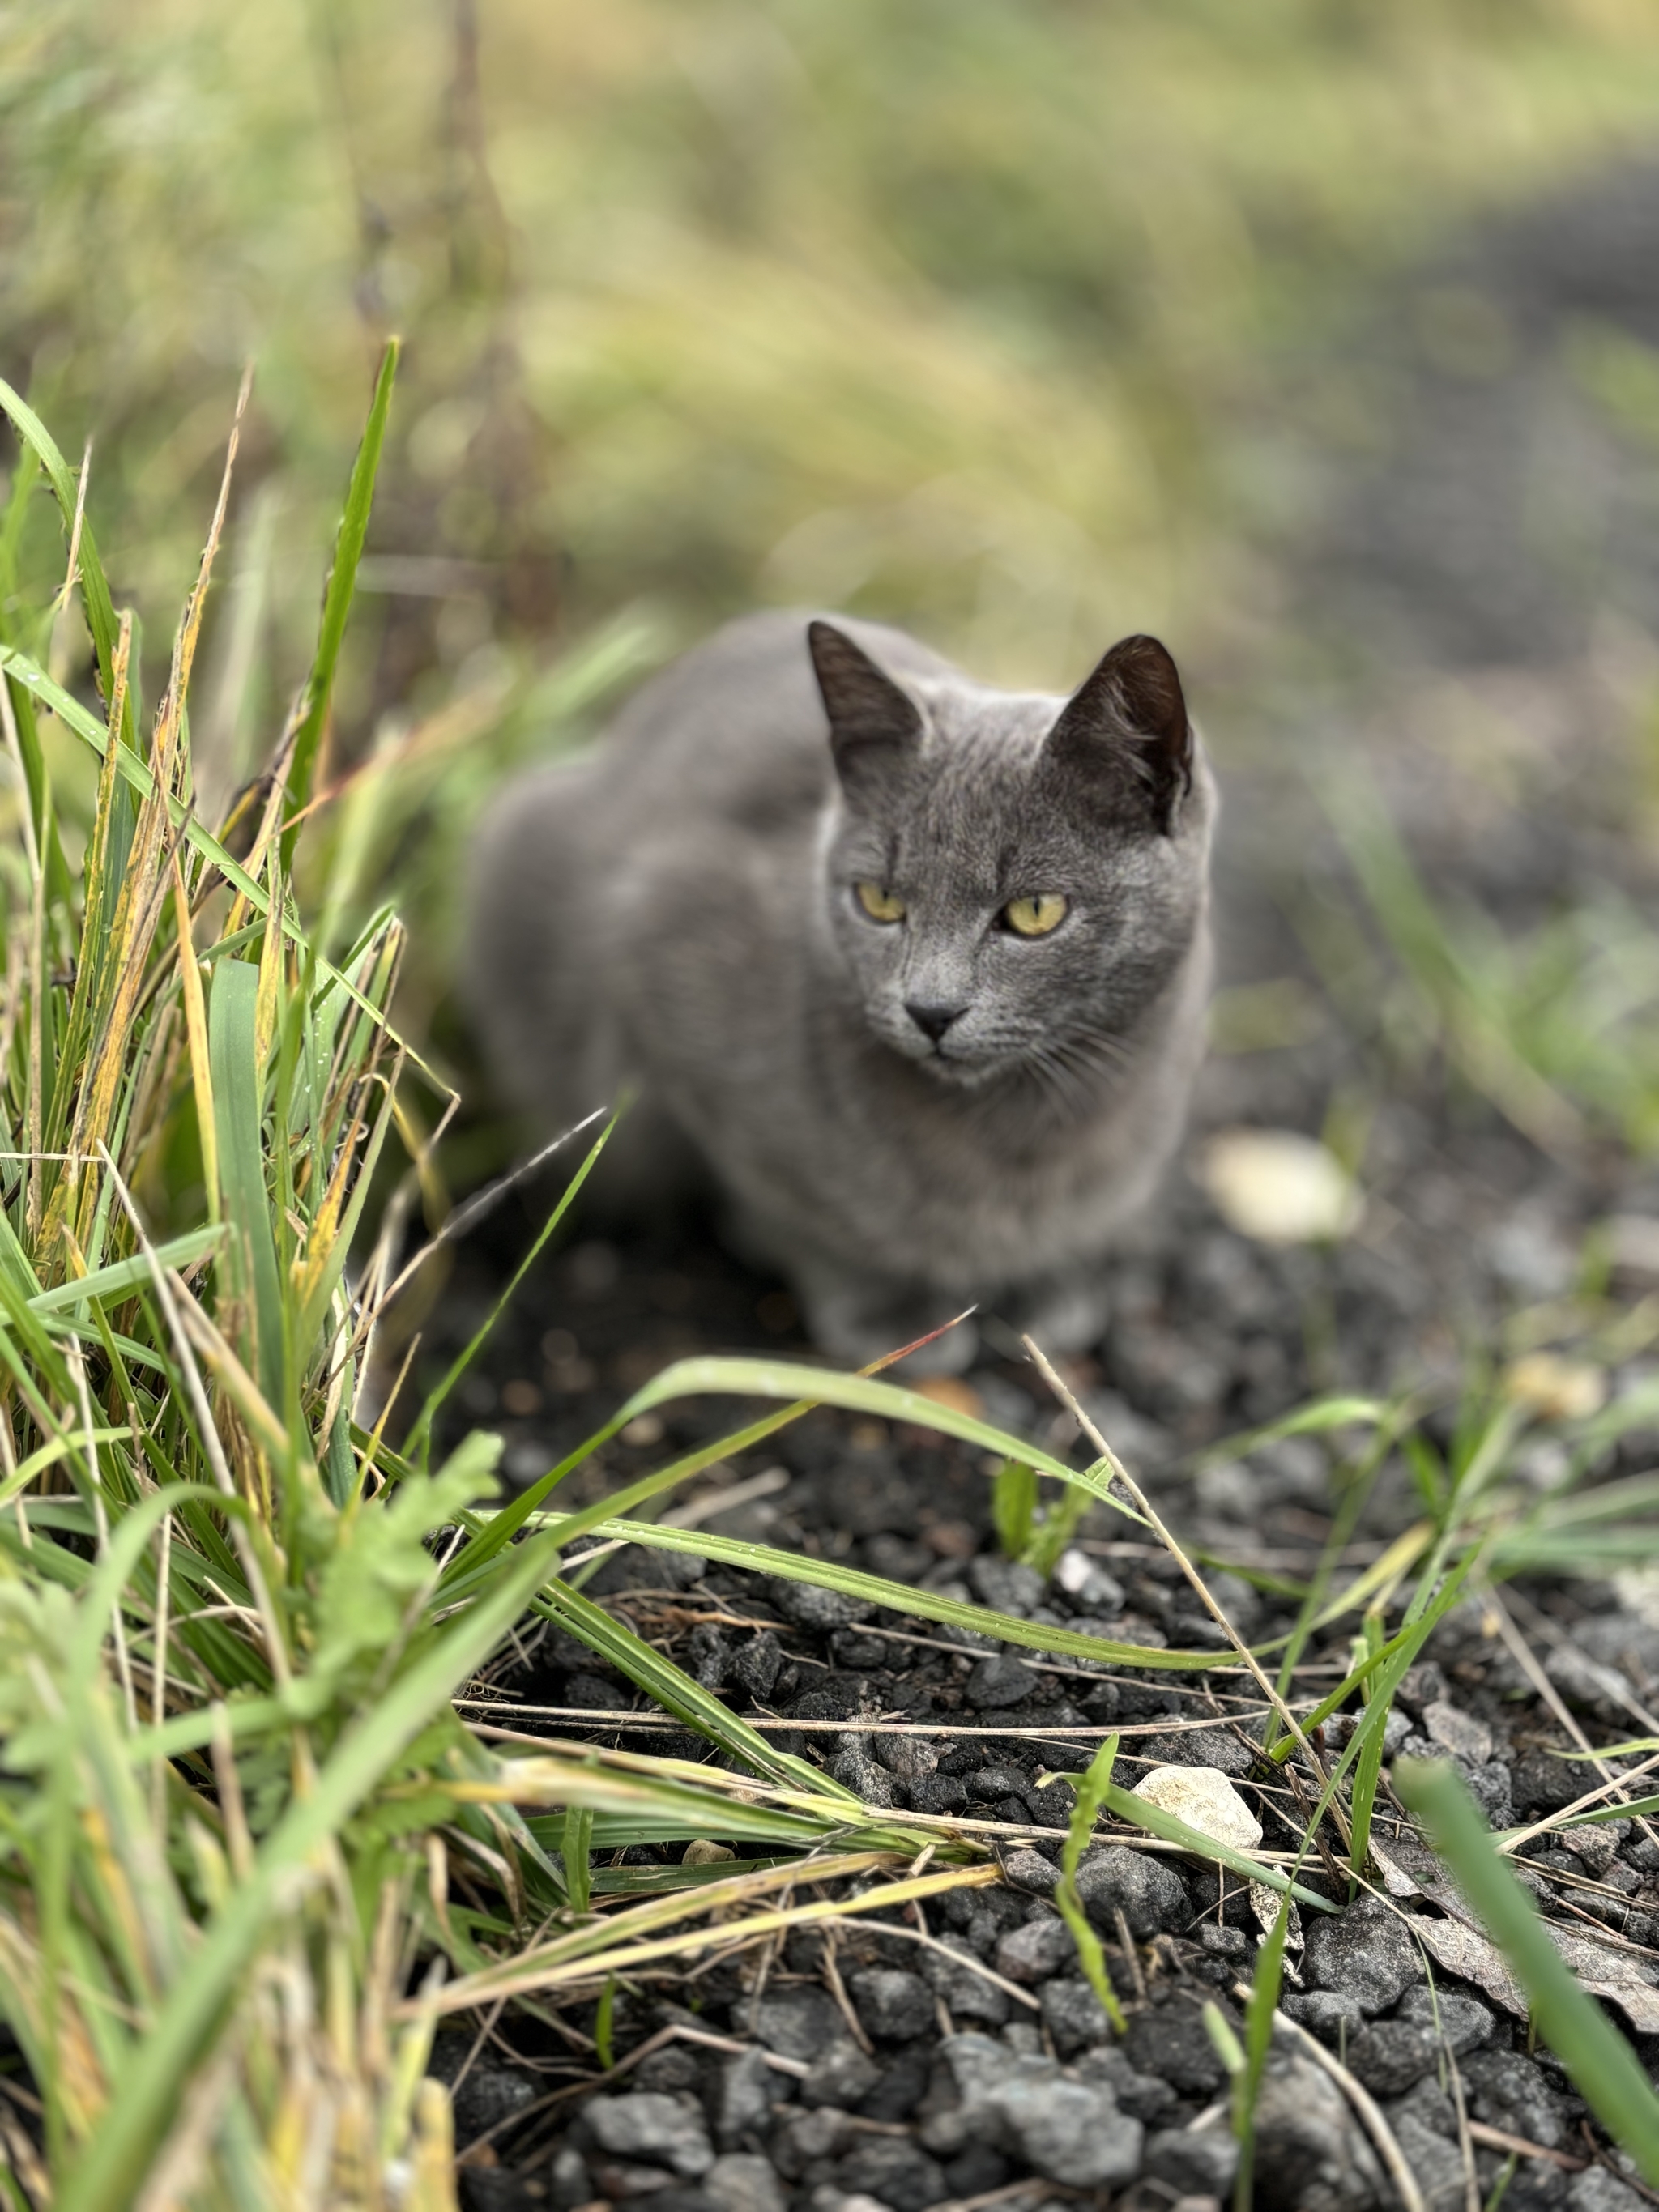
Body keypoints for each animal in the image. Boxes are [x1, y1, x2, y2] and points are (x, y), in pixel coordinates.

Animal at [468, 610, 1221, 1362]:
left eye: (1036, 911)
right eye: (879, 900)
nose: (931, 1008)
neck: (1025, 1134)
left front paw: (1048, 1282)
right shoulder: (658, 946)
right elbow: (794, 1210)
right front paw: (887, 1306)